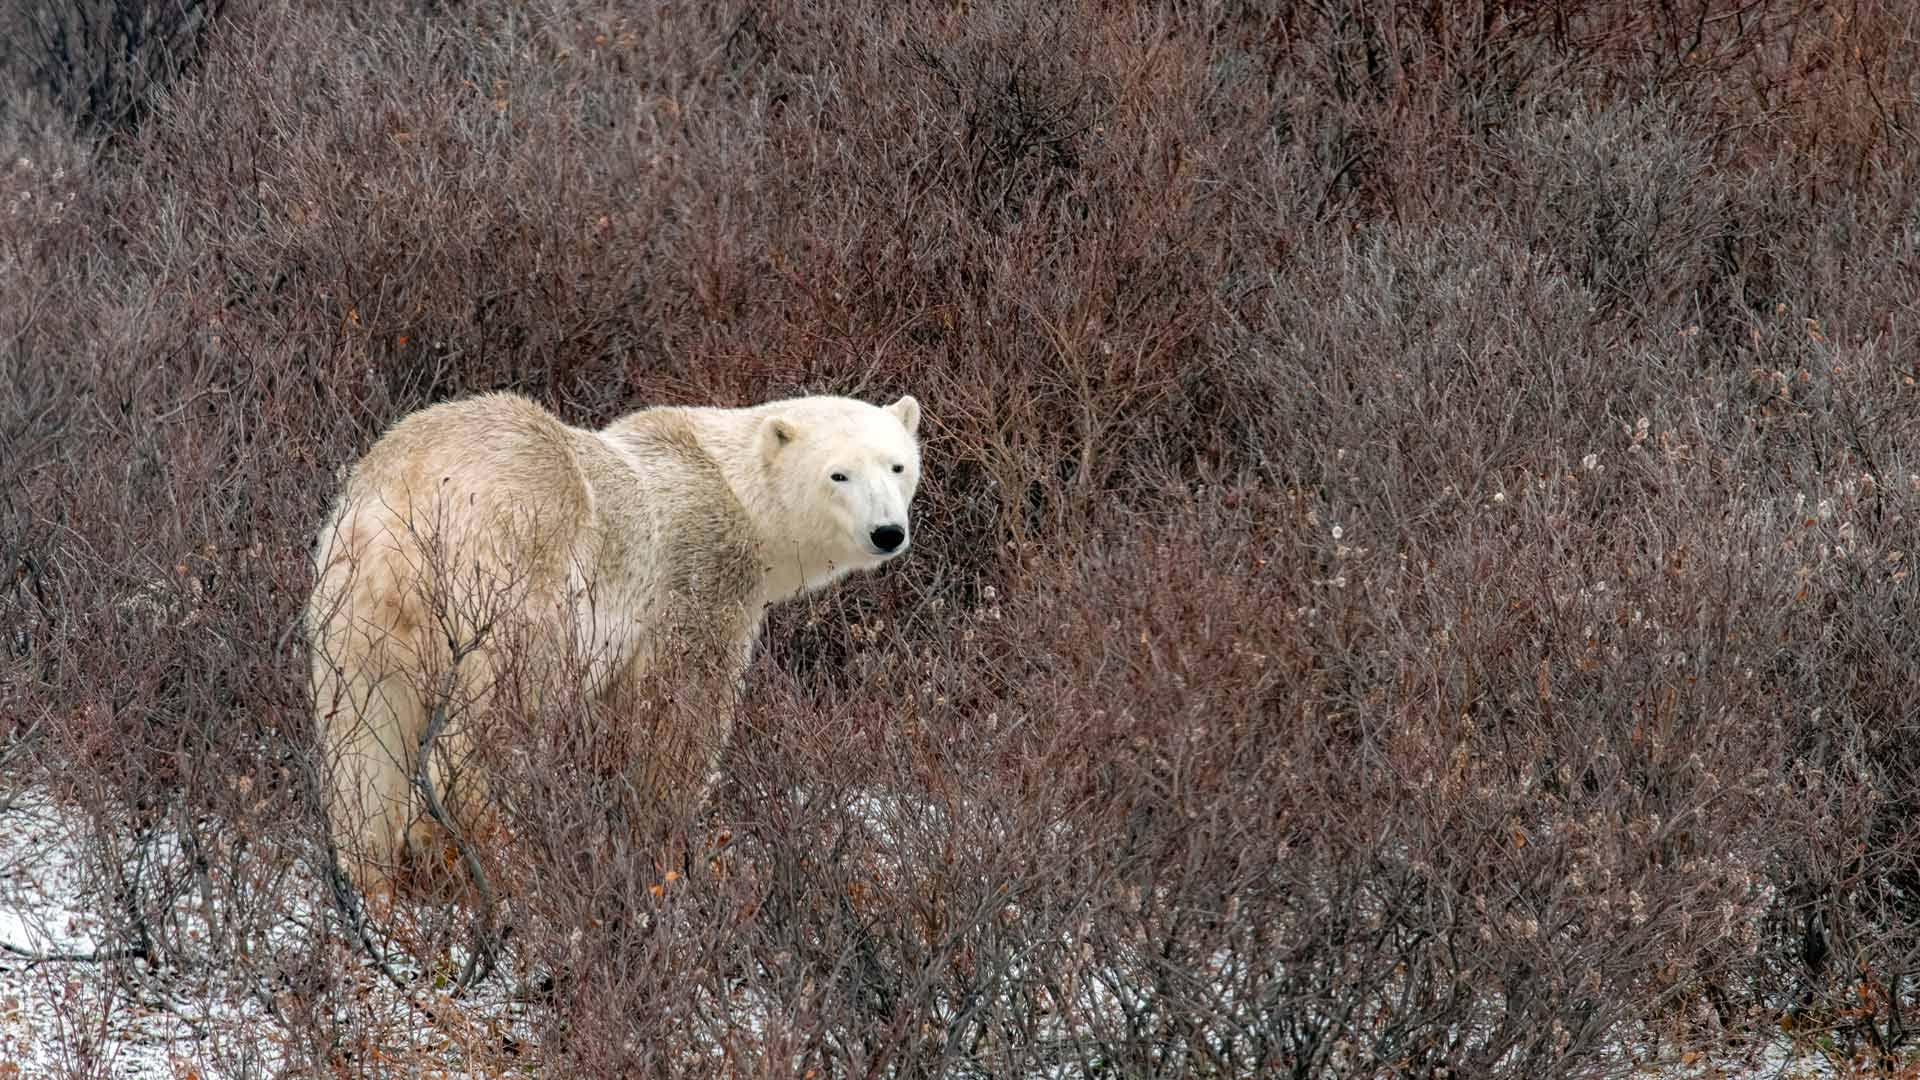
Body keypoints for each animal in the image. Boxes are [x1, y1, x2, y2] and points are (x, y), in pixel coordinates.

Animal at [305, 390, 923, 894]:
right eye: (838, 475)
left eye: (898, 465)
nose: (887, 532)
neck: (732, 489)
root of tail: (406, 507)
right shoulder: (700, 575)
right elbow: (681, 713)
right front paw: (668, 838)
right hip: (511, 579)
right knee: (492, 718)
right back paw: (493, 854)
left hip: (354, 606)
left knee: (361, 743)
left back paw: (376, 885)